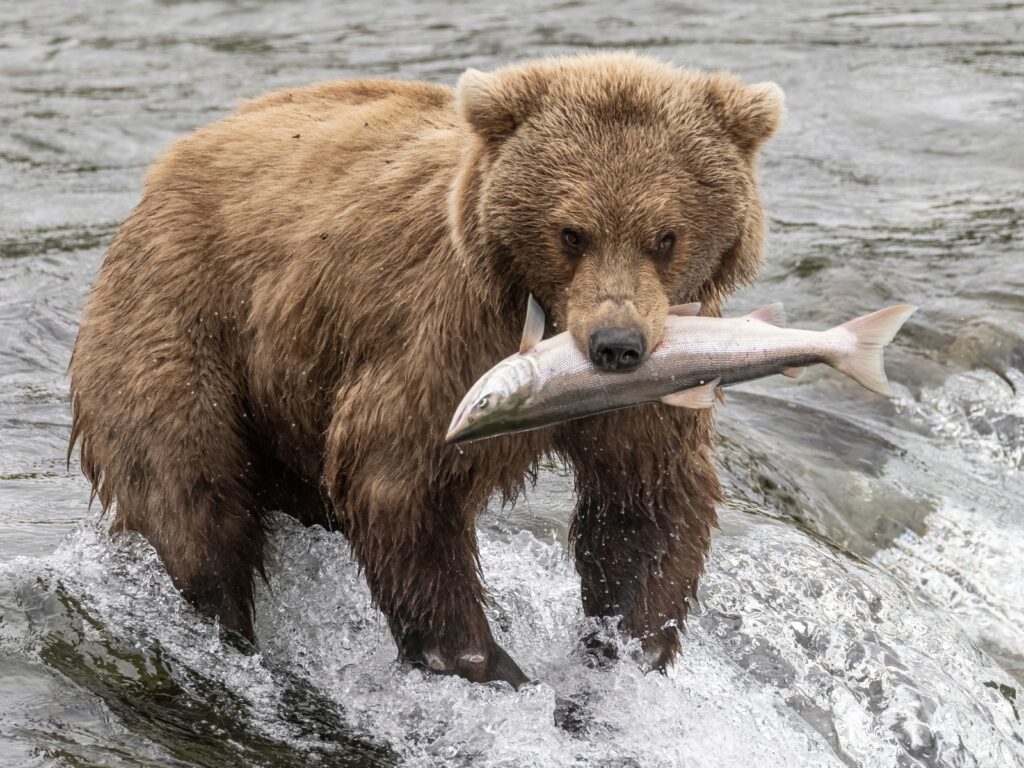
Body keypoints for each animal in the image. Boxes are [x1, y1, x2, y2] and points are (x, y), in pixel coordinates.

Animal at [68, 55, 778, 692]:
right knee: (191, 488)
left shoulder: (663, 369)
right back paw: (230, 631)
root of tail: (167, 166)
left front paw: (625, 647)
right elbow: (400, 477)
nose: (616, 346)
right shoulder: (447, 334)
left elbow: (644, 497)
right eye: (572, 232)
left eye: (666, 236)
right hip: (183, 322)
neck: (546, 315)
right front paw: (485, 661)